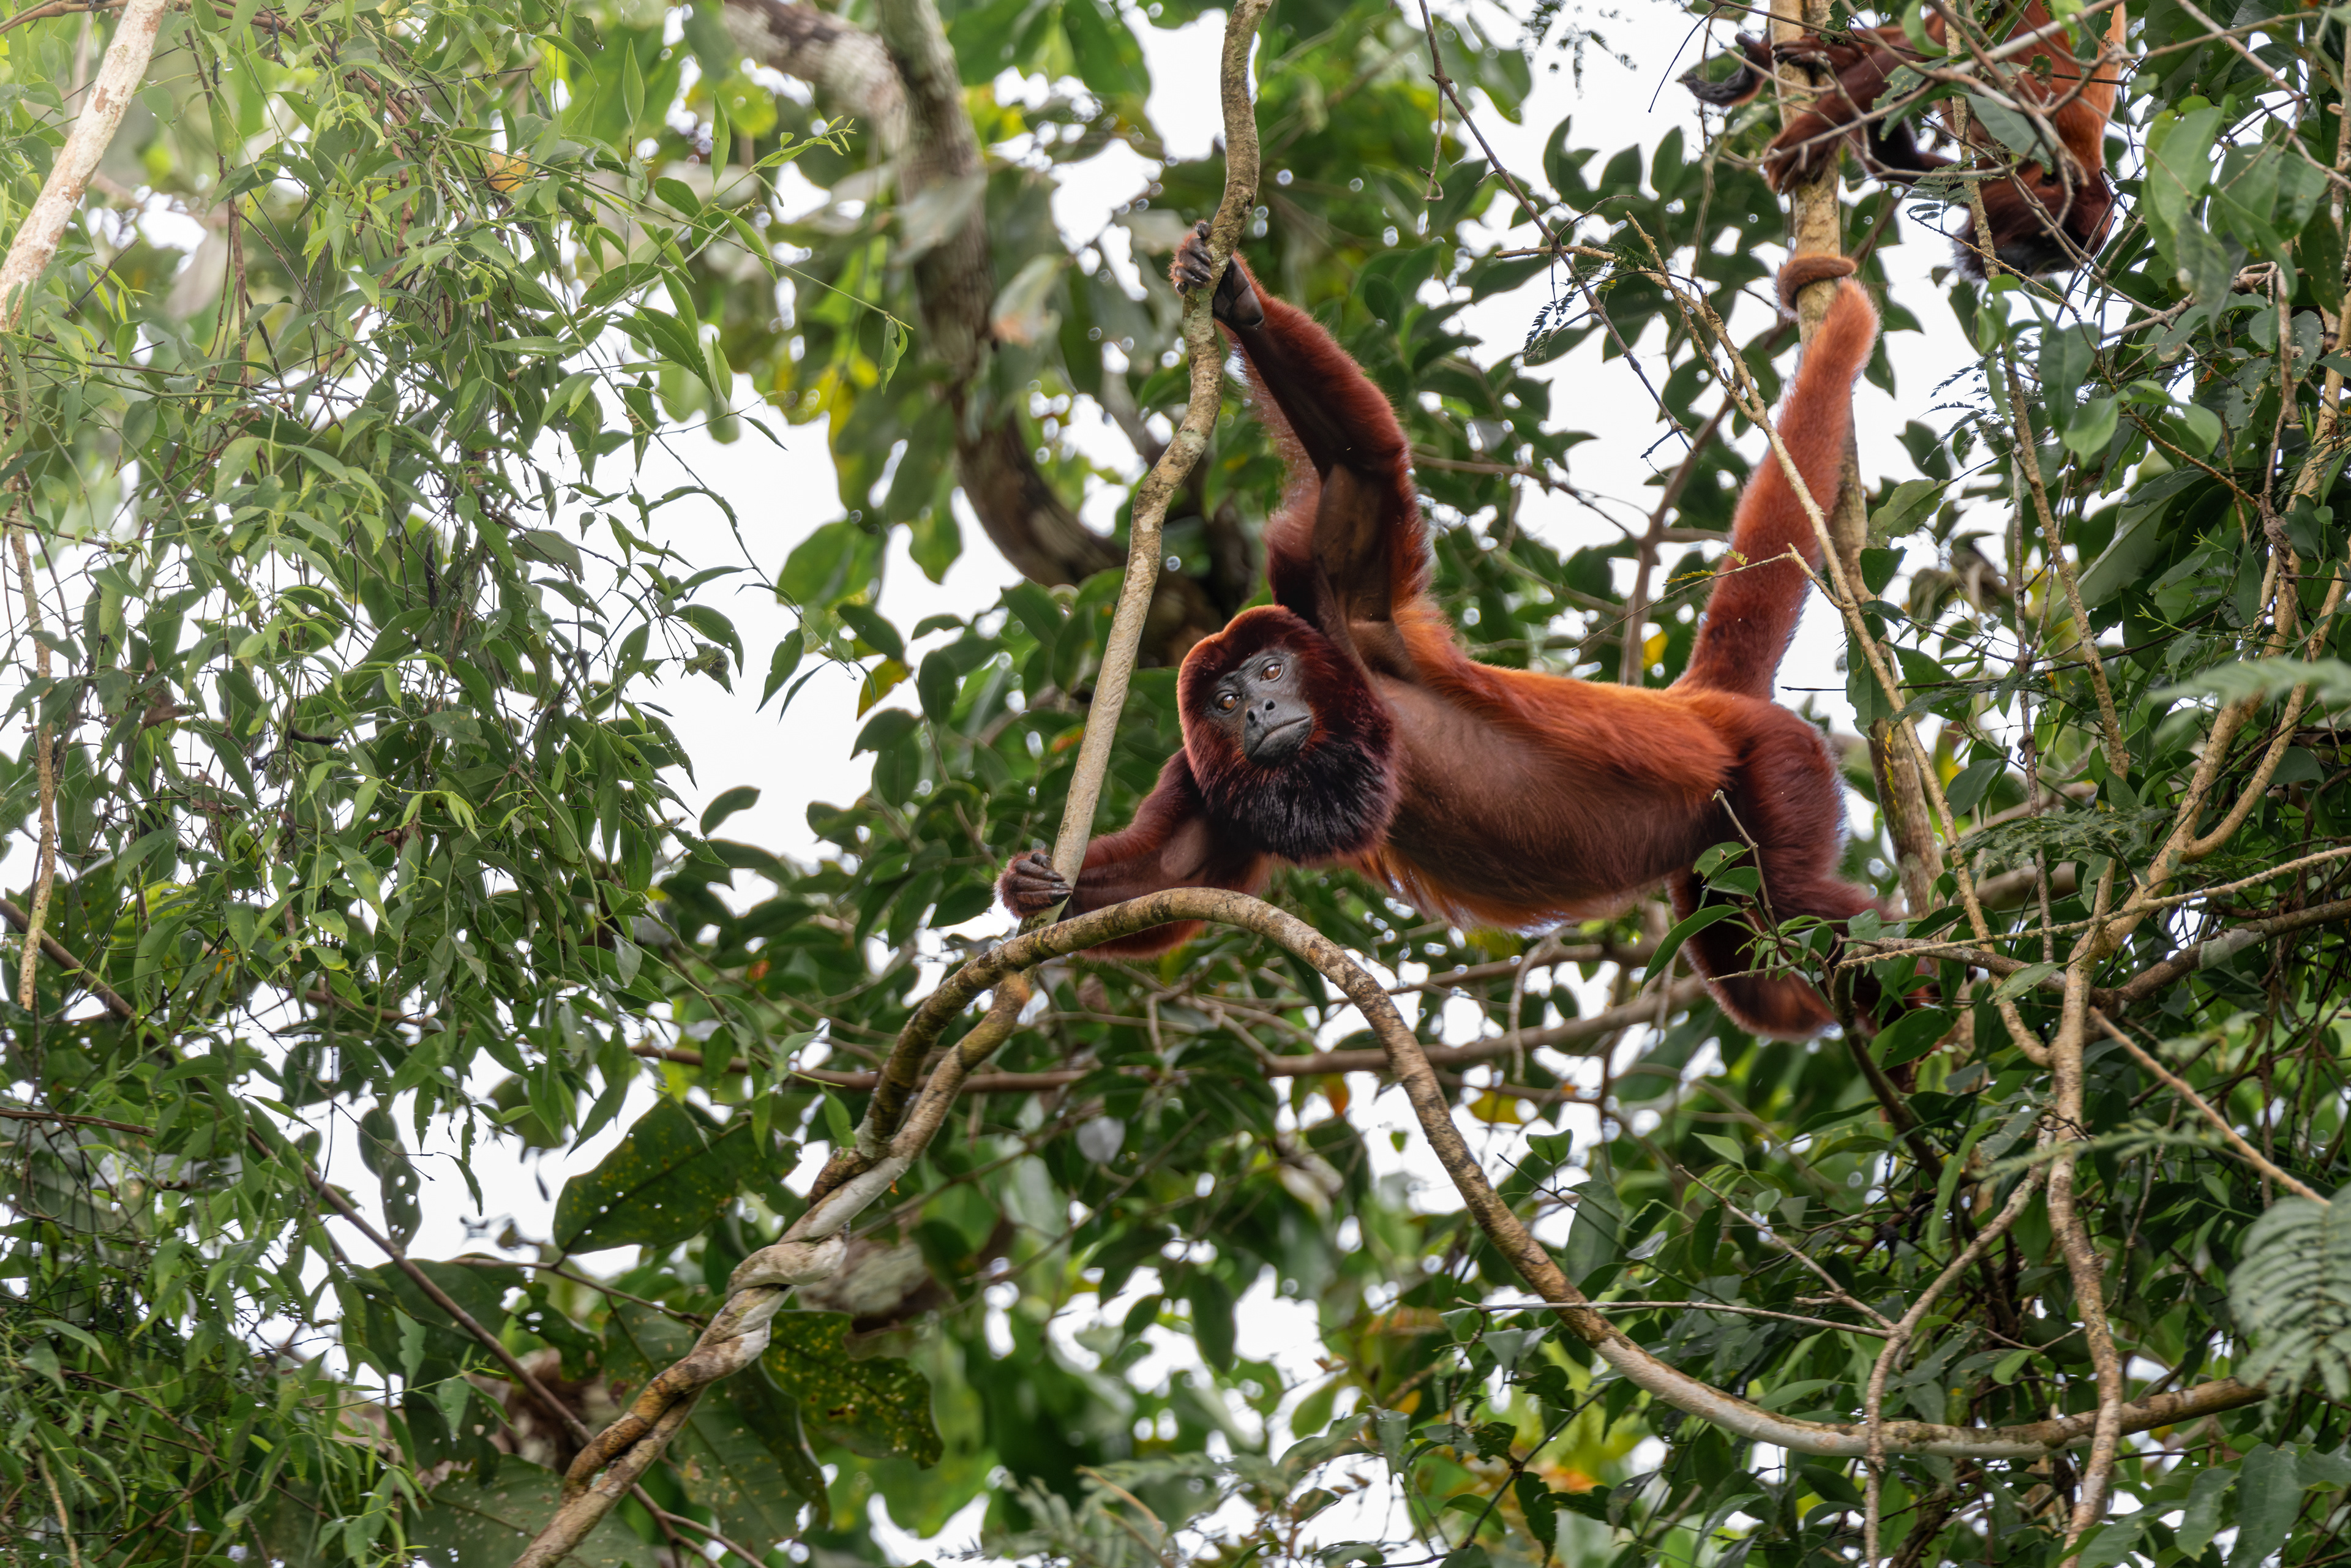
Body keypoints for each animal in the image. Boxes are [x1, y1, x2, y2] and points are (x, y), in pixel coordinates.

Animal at [1000, 227, 1884, 1038]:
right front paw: (1034, 883)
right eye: (1222, 698)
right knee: (1759, 977)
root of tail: (1701, 703)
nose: (1257, 712)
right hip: (1719, 860)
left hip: (1774, 764)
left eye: (1272, 671)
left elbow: (1359, 465)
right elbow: (1167, 874)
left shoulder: (1346, 615)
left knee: (1817, 917)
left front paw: (1235, 298)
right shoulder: (1206, 776)